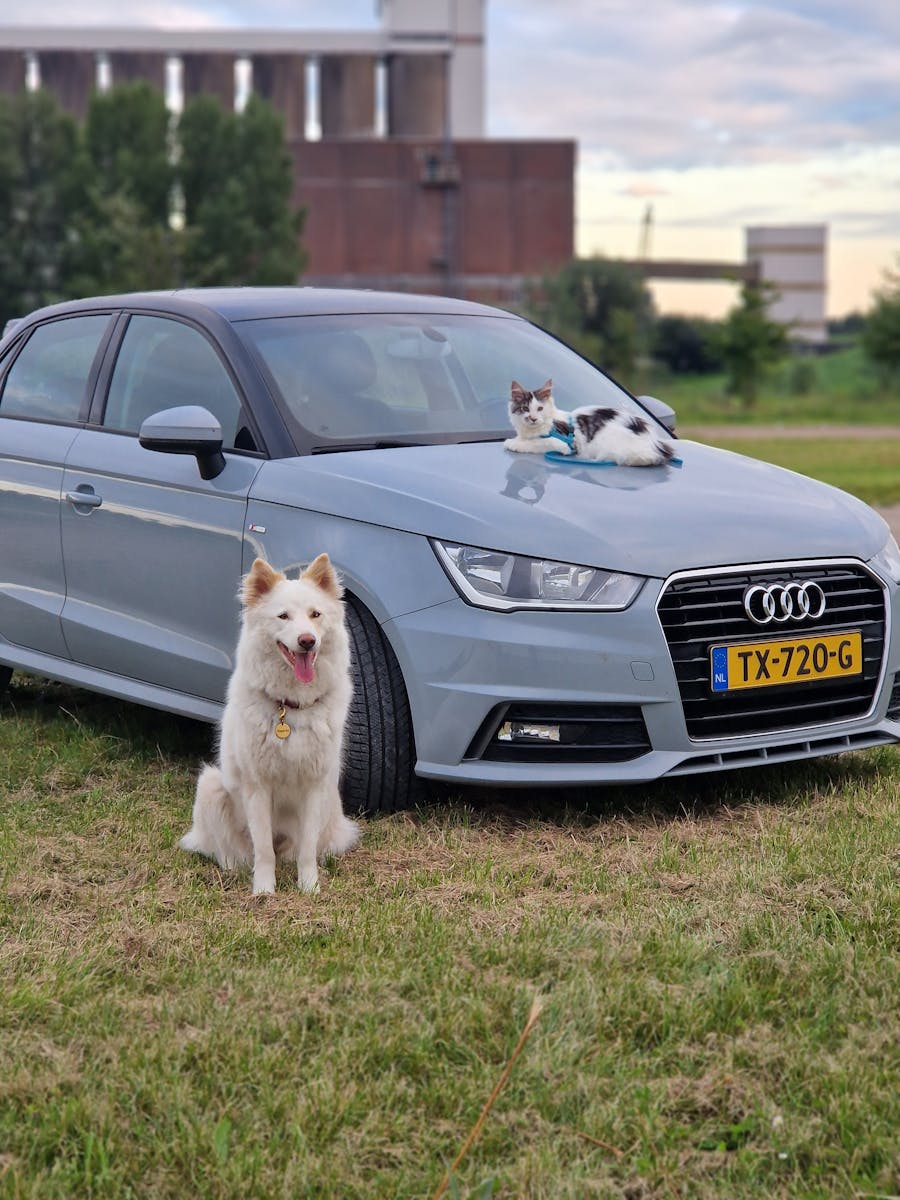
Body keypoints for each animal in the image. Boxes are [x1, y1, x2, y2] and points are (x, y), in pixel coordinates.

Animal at [181, 552, 362, 892]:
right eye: (283, 616)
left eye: (315, 614)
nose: (307, 641)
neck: (291, 708)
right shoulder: (258, 788)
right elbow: (264, 848)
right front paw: (264, 890)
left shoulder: (314, 787)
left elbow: (306, 849)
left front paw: (309, 888)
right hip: (210, 785)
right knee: (231, 852)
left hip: (331, 803)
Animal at [504, 376, 672, 465]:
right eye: (525, 408)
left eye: (540, 408)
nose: (533, 418)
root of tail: (655, 443)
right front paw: (516, 440)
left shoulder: (563, 443)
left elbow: (535, 443)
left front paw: (513, 444)